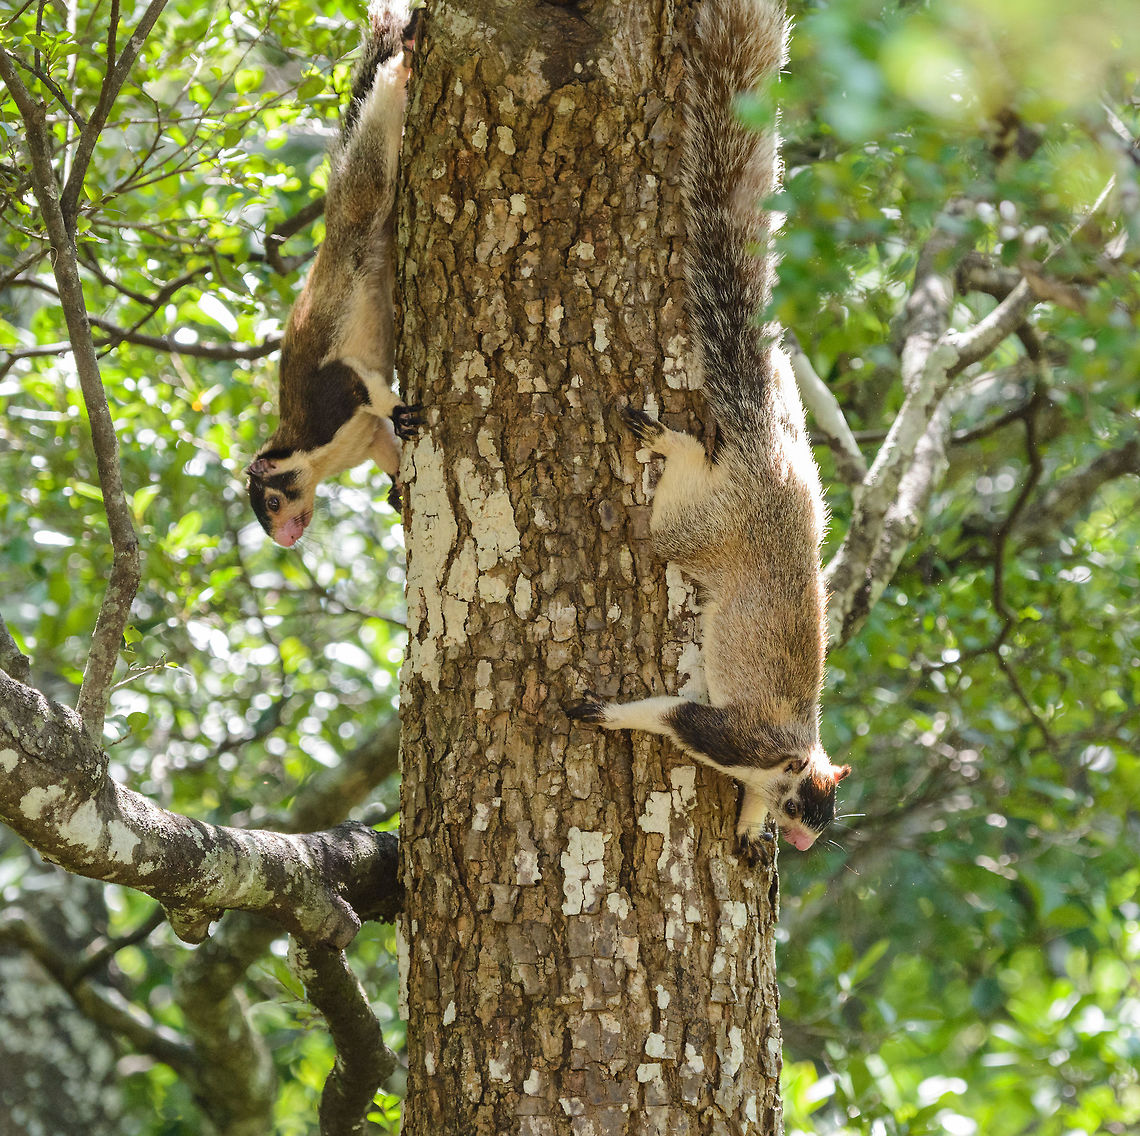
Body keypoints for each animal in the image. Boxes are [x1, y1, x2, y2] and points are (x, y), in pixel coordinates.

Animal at [246, 0, 422, 548]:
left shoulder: (332, 399)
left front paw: (401, 410)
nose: (284, 539)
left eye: (272, 501)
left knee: (379, 118)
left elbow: (366, 387)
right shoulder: (366, 441)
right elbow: (385, 446)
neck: (317, 456)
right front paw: (395, 490)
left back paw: (404, 59)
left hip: (369, 184)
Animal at [567, 0, 850, 852]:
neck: (791, 749)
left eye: (825, 816)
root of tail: (770, 455)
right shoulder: (732, 735)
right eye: (800, 804)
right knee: (679, 500)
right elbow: (669, 715)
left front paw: (746, 829)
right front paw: (609, 710)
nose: (802, 845)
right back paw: (673, 440)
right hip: (702, 527)